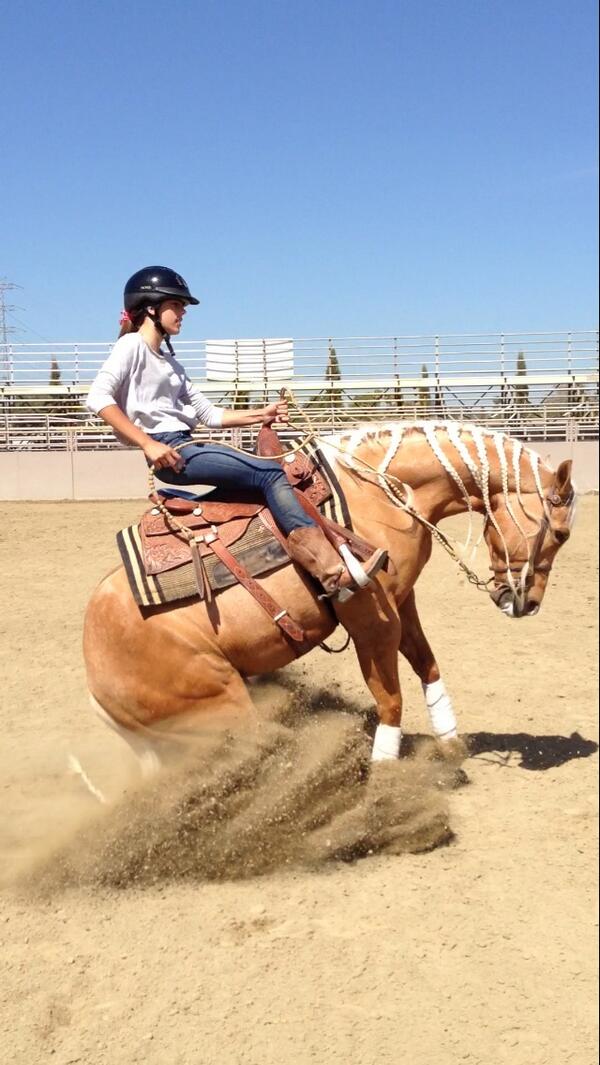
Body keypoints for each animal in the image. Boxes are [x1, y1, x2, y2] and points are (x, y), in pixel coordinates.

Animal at [83, 419, 575, 771]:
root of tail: (95, 676)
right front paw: (385, 776)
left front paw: (450, 744)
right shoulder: (368, 615)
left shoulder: (401, 600)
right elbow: (390, 698)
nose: (527, 603)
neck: (382, 491)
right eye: (562, 534)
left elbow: (428, 666)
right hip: (222, 708)